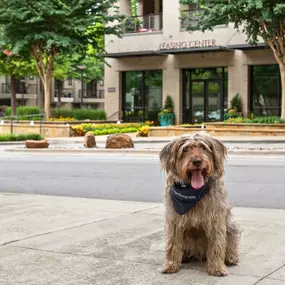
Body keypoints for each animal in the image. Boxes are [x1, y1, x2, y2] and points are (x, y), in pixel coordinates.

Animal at [159, 131, 239, 276]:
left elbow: (217, 244)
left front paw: (217, 267)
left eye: (203, 147)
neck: (192, 190)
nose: (197, 161)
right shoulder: (174, 220)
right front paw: (170, 265)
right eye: (185, 149)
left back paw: (230, 258)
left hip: (231, 225)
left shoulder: (215, 220)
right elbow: (172, 244)